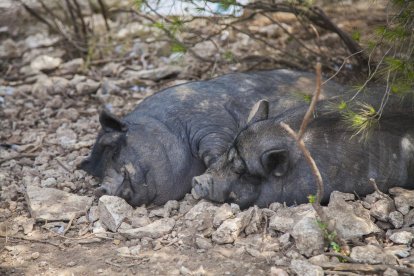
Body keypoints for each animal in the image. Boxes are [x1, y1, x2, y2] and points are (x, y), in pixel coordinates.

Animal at [79, 70, 344, 206]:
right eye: (97, 171)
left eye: (114, 148)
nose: (103, 188)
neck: (169, 127)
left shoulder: (210, 124)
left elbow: (216, 151)